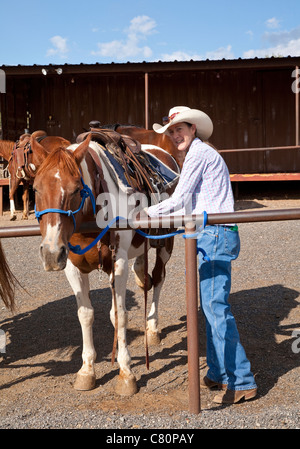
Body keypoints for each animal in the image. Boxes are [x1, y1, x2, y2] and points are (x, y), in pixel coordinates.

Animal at [31, 131, 179, 394]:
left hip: (165, 242)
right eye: (36, 189)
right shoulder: (72, 267)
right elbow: (86, 314)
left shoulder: (118, 264)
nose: (50, 253)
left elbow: (119, 315)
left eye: (76, 190)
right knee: (143, 272)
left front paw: (126, 373)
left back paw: (152, 328)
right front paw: (86, 370)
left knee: (159, 278)